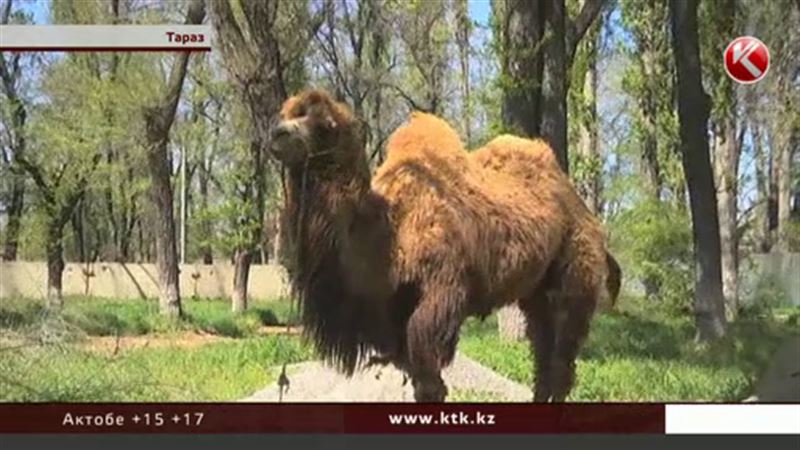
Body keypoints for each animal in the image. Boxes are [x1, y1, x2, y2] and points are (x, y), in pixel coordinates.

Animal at [268, 89, 620, 402]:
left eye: (325, 125)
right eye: (285, 112)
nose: (277, 135)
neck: (389, 232)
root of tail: (586, 213)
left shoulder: (444, 287)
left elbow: (429, 377)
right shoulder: (390, 314)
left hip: (576, 274)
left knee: (563, 355)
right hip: (536, 293)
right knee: (543, 352)